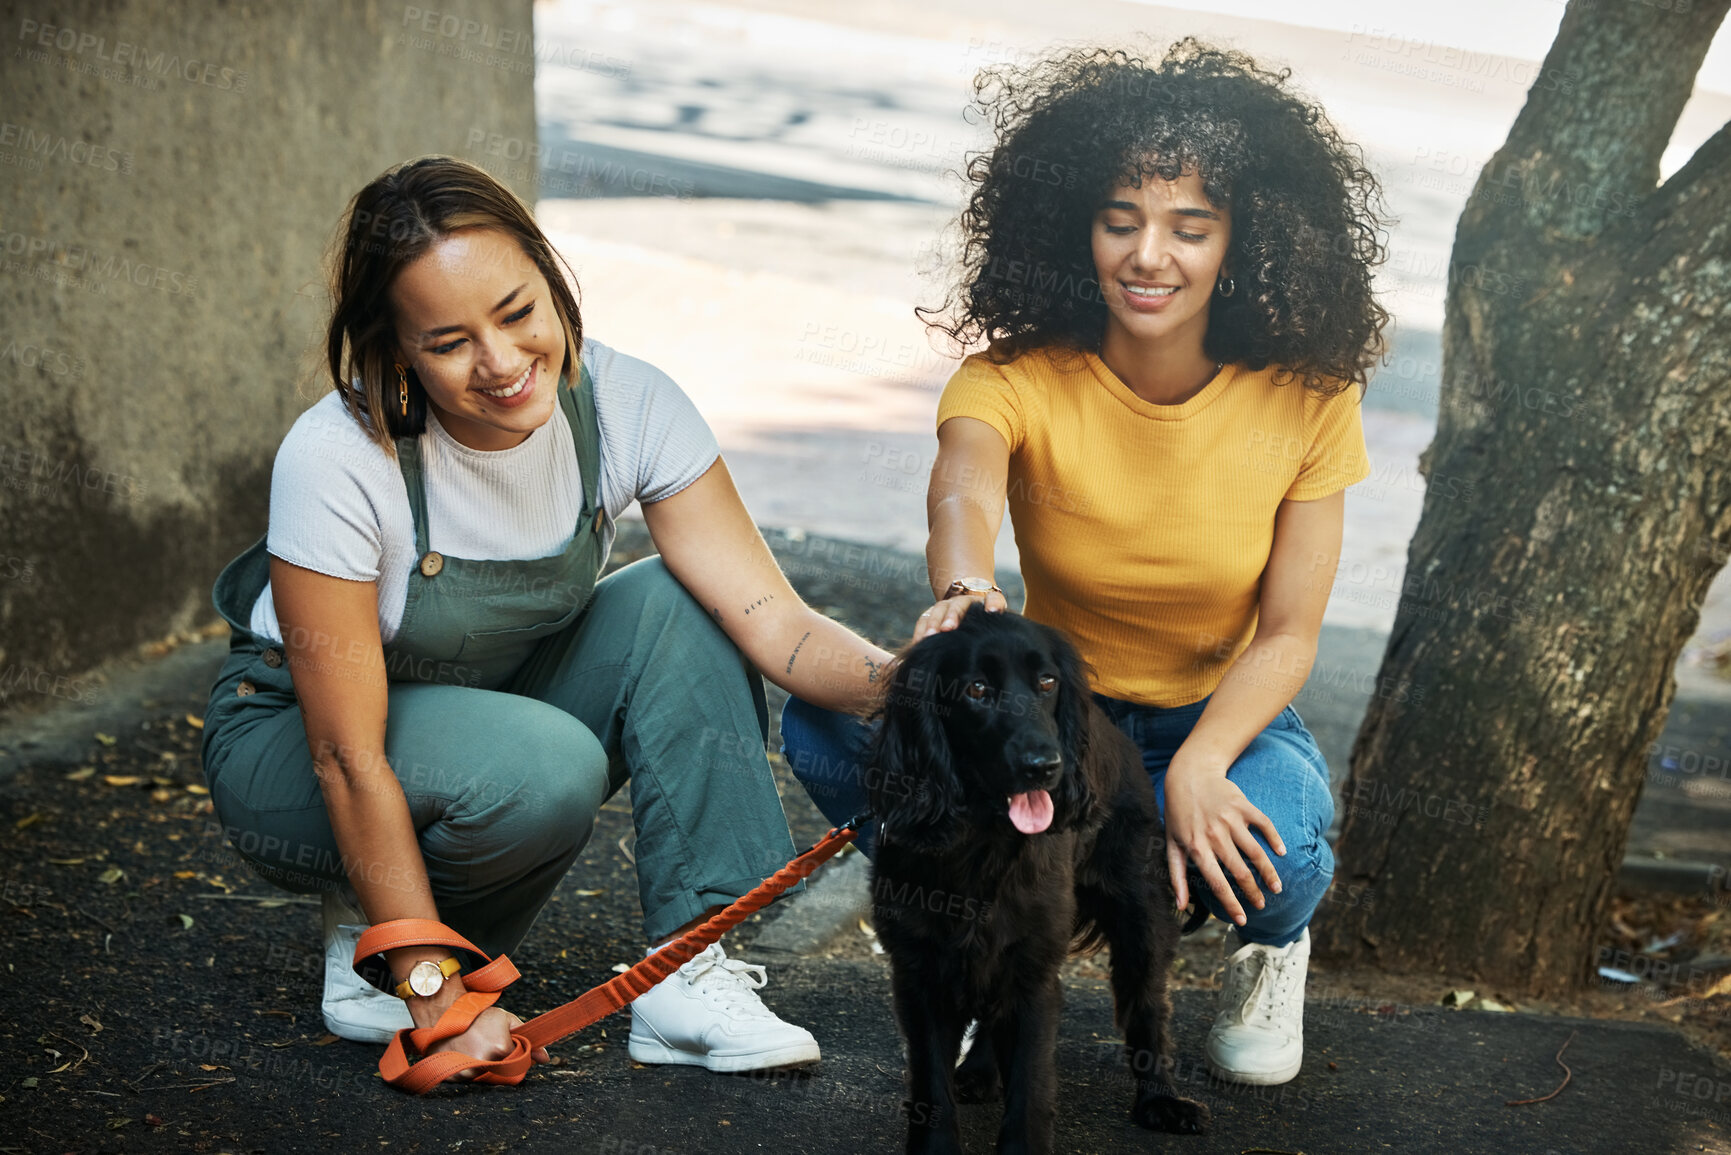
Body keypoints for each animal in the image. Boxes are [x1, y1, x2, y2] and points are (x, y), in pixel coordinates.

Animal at [865, 609, 1204, 1149]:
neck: (982, 843)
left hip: (1141, 916)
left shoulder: (1035, 970)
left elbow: (1030, 1083)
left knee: (1148, 1006)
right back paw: (979, 1072)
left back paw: (1161, 1099)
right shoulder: (920, 973)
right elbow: (931, 1088)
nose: (1046, 767)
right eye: (977, 689)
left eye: (1047, 682)